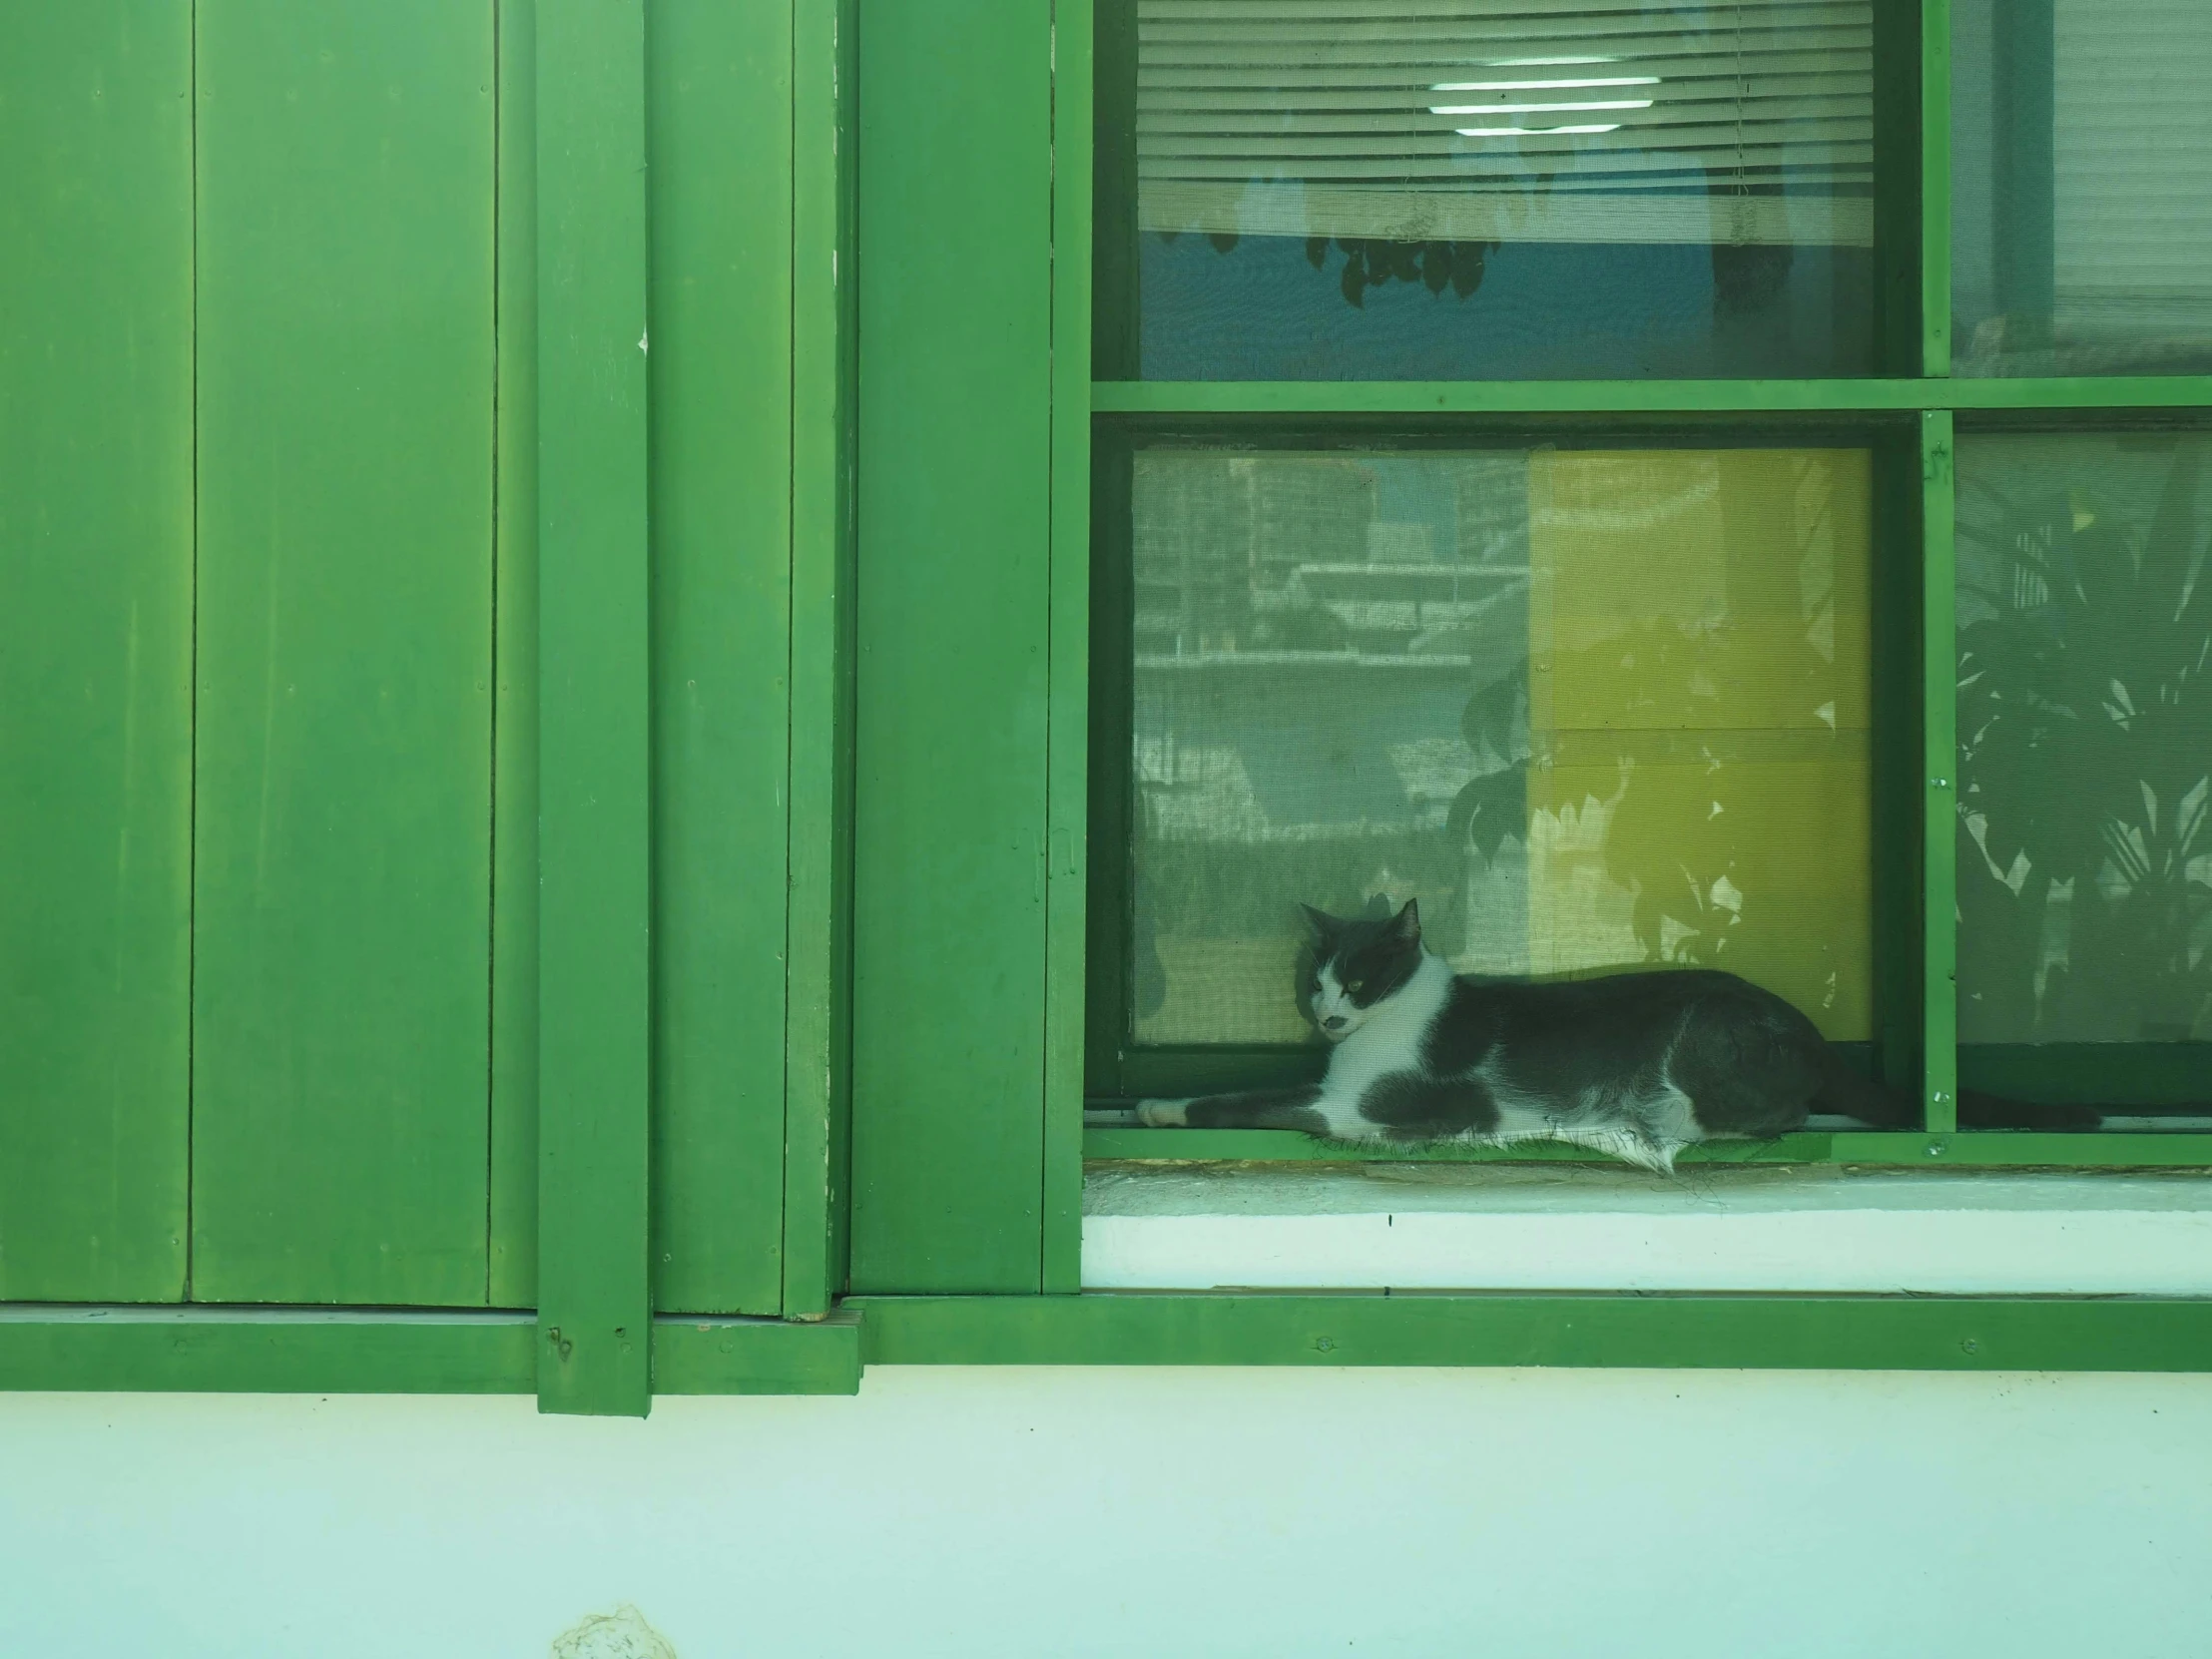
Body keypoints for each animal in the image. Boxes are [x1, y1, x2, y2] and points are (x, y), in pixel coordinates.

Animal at [1114, 902, 2096, 1176]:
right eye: (1314, 982)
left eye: (1360, 980)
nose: (1326, 1016)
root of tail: (1815, 1037)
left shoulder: (1366, 1106)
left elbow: (1251, 1100)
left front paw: (1160, 1107)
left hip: (1702, 1042)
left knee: (1759, 1118)